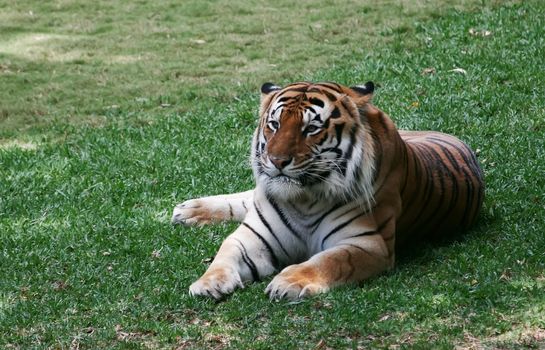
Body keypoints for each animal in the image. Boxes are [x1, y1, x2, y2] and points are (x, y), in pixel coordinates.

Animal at [172, 80, 482, 300]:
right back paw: (188, 211)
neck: (304, 199)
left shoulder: (368, 243)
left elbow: (328, 261)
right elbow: (225, 252)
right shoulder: (252, 236)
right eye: (274, 125)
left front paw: (288, 282)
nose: (277, 161)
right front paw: (208, 283)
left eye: (310, 128)